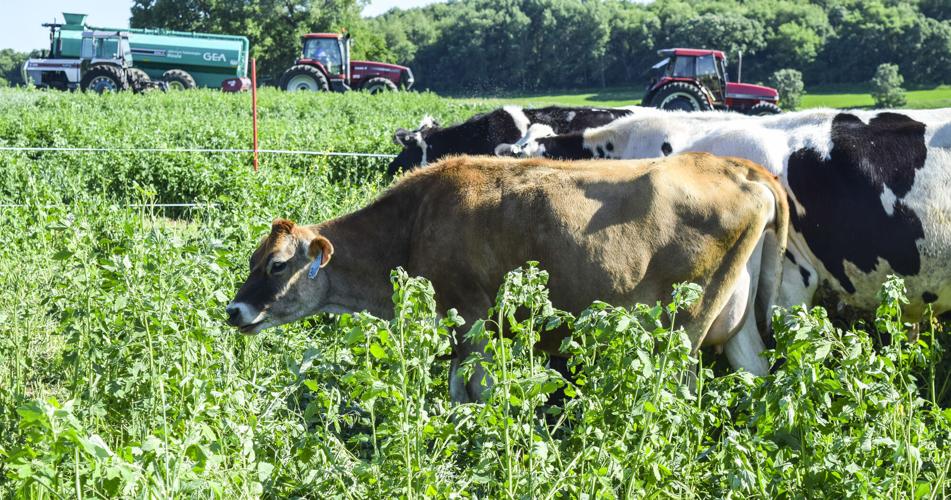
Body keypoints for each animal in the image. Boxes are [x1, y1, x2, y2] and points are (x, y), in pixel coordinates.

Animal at [226, 153, 789, 402]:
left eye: (277, 264)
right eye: (252, 261)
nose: (234, 310)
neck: (415, 221)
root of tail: (736, 166)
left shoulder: (471, 319)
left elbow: (472, 393)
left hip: (682, 327)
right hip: (738, 326)